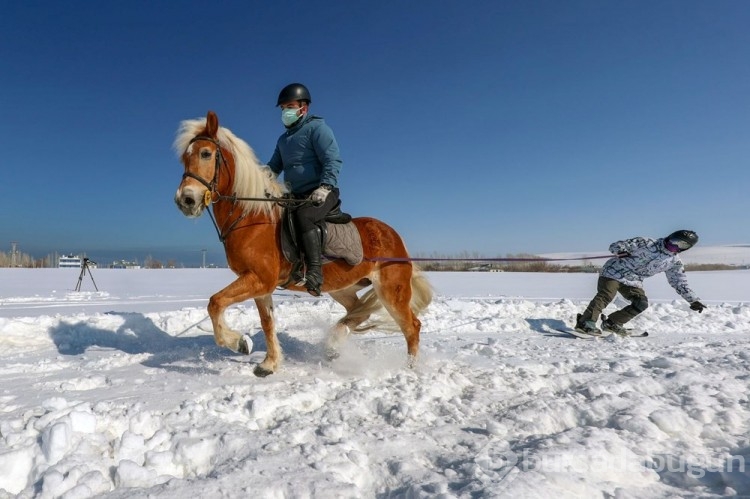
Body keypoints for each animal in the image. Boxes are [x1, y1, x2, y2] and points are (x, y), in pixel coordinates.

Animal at [176, 111, 432, 376]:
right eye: (185, 158)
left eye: (206, 153)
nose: (185, 200)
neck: (253, 217)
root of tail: (393, 235)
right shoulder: (261, 285)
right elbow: (266, 322)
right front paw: (269, 363)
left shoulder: (260, 279)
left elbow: (215, 302)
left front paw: (239, 343)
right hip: (342, 288)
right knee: (358, 313)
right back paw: (333, 345)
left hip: (391, 291)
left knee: (412, 326)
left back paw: (409, 369)